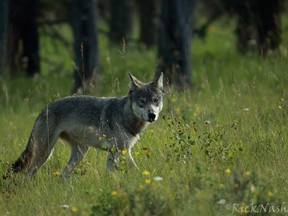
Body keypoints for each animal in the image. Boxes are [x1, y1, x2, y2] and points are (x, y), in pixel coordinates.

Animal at [4, 73, 163, 179]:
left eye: (155, 100)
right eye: (142, 101)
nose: (152, 115)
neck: (125, 116)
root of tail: (44, 109)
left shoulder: (117, 152)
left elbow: (117, 172)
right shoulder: (120, 151)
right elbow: (134, 170)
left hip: (80, 153)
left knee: (63, 174)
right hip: (45, 154)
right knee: (27, 176)